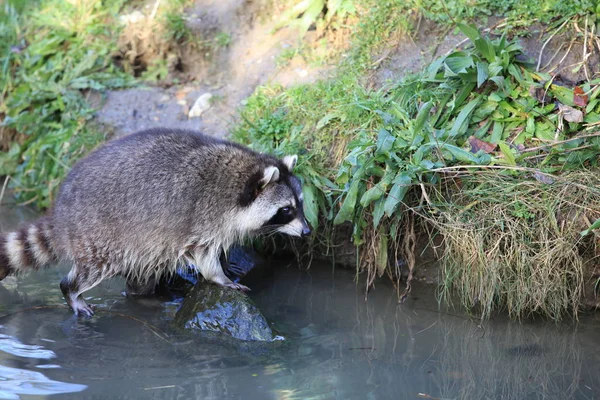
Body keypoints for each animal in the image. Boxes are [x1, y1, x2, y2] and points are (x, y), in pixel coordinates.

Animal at [0, 128, 310, 316]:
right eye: (286, 210)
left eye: (301, 203)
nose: (307, 230)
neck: (240, 180)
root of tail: (61, 213)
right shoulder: (202, 217)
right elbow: (203, 253)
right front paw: (219, 276)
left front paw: (227, 261)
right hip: (99, 234)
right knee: (93, 267)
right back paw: (71, 290)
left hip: (143, 243)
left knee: (144, 269)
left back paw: (143, 295)